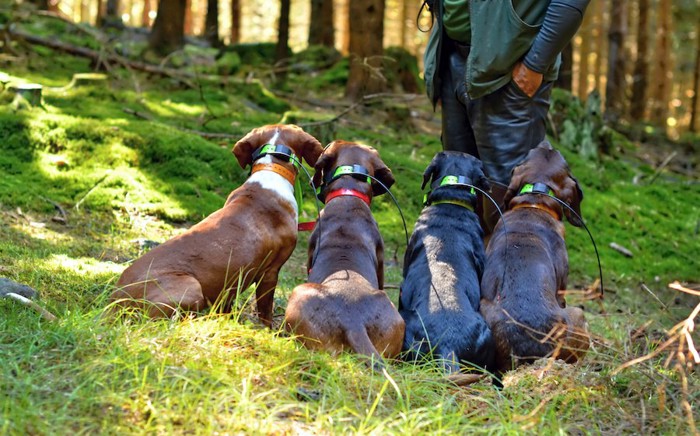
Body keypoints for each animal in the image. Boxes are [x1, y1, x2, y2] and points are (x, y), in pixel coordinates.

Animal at [478, 142, 588, 374]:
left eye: (529, 153)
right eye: (560, 156)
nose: (547, 143)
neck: (535, 201)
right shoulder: (562, 291)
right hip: (578, 315)